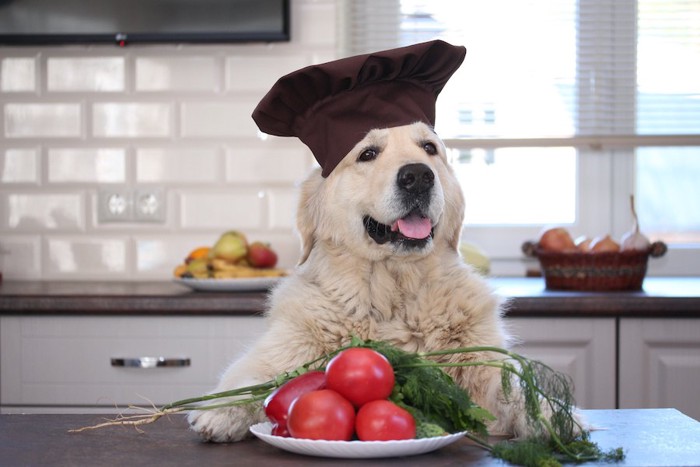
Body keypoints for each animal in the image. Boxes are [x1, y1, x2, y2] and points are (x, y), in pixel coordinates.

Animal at [187, 120, 540, 442]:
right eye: (368, 153)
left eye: (429, 148)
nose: (418, 176)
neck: (391, 293)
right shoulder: (278, 353)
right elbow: (248, 383)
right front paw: (221, 412)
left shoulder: (487, 371)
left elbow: (517, 389)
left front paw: (547, 418)